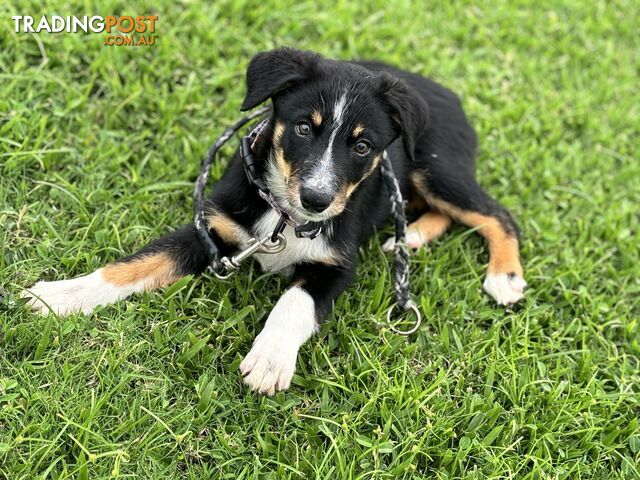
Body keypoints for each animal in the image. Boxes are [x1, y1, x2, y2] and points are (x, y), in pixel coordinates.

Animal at [23, 47, 524, 394]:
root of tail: (448, 93)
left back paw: (503, 276)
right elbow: (134, 265)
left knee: (498, 214)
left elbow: (293, 302)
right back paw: (413, 235)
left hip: (435, 166)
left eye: (362, 146)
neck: (284, 217)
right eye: (303, 127)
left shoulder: (335, 266)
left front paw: (270, 358)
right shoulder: (211, 230)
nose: (317, 200)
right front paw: (59, 296)